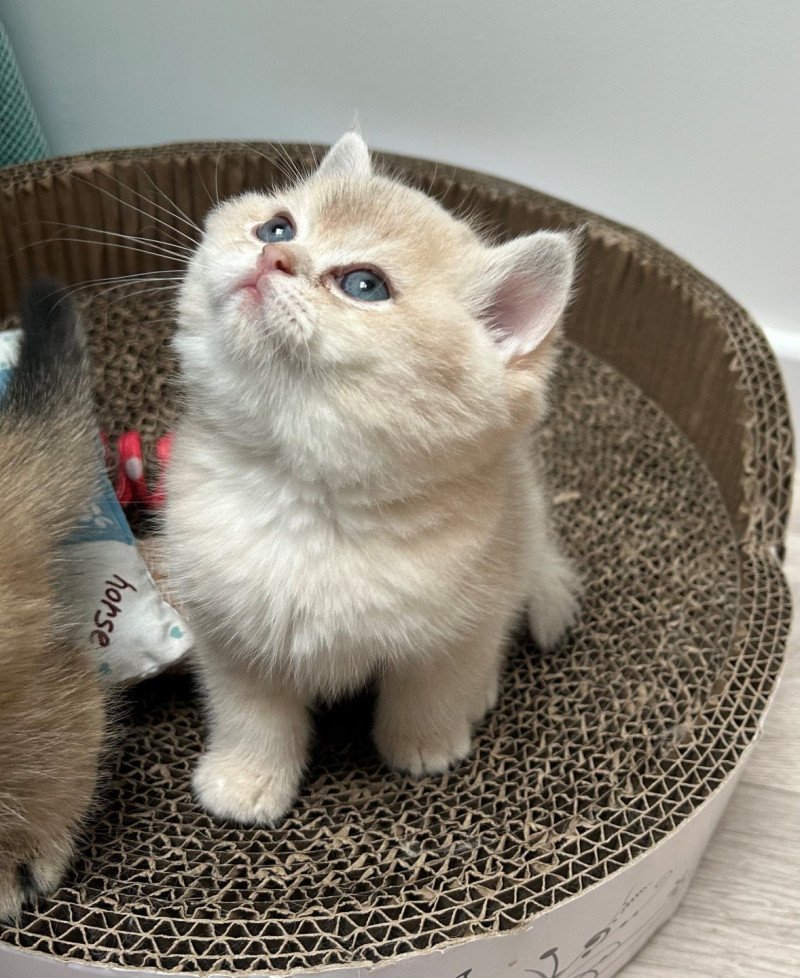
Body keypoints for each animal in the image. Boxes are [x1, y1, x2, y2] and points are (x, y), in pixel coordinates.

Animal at [166, 133, 580, 824]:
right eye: (278, 225)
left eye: (364, 285)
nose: (274, 254)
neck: (306, 496)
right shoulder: (229, 630)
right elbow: (251, 715)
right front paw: (246, 780)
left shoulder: (457, 624)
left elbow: (433, 685)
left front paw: (425, 745)